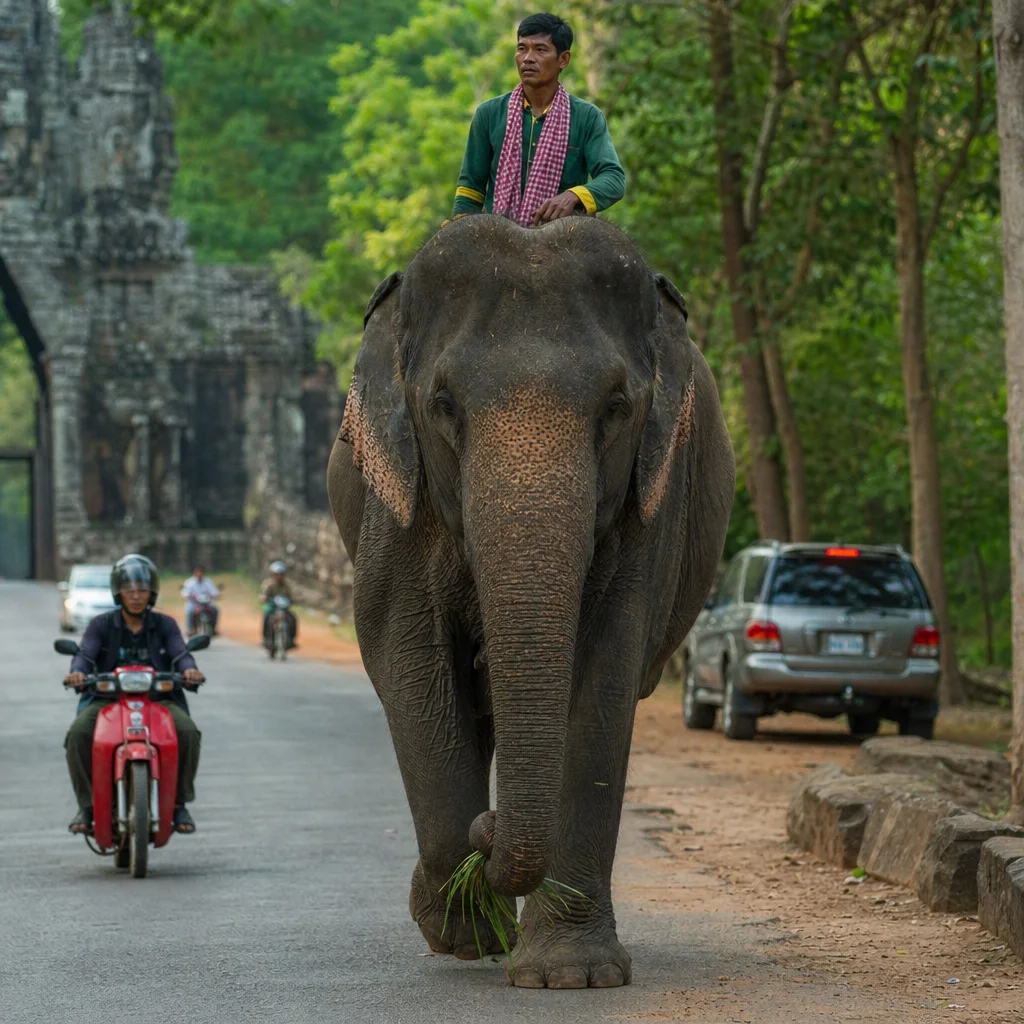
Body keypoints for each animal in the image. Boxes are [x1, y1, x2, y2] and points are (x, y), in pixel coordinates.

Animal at [328, 214, 735, 989]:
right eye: (443, 406)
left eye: (616, 408)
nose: (489, 833)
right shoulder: (399, 503)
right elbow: (408, 660)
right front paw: (466, 930)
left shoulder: (648, 508)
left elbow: (605, 673)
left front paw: (570, 976)